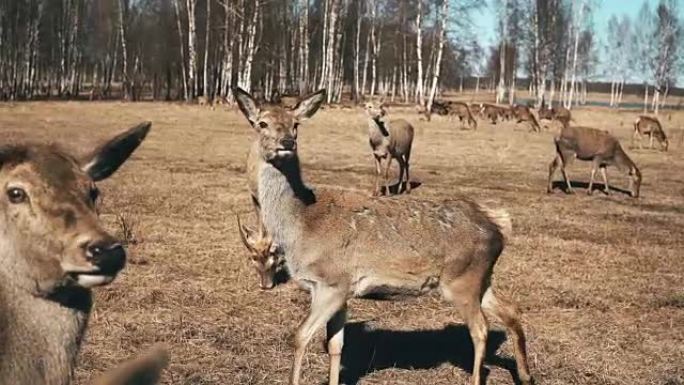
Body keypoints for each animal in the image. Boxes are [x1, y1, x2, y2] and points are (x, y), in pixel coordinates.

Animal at [235, 86, 536, 384]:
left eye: (295, 124)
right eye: (261, 123)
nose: (286, 142)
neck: (300, 226)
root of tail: (499, 226)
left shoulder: (332, 282)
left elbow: (299, 337)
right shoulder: (340, 291)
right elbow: (334, 345)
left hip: (462, 281)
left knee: (481, 329)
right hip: (481, 279)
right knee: (511, 310)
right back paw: (526, 375)